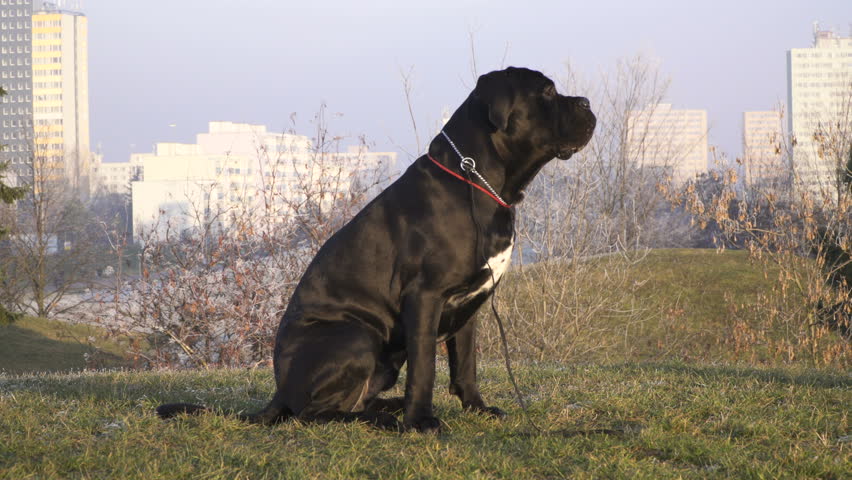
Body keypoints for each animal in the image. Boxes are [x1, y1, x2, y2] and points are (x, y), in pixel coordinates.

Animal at [161, 66, 600, 432]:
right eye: (547, 91)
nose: (586, 102)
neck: (478, 180)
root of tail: (279, 392)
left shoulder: (469, 305)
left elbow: (466, 365)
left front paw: (477, 408)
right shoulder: (425, 297)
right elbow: (426, 368)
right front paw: (421, 422)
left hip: (383, 356)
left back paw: (388, 409)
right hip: (356, 336)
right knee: (314, 413)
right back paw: (388, 418)